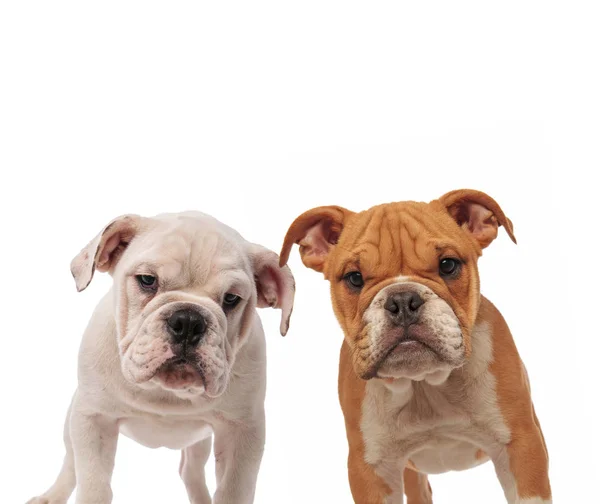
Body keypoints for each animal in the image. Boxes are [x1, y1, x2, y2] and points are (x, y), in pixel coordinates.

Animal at [28, 213, 296, 504]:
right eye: (147, 280)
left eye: (232, 298)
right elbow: (93, 485)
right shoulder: (93, 418)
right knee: (70, 464)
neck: (166, 392)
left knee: (190, 470)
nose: (189, 321)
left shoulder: (242, 432)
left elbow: (233, 491)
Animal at [278, 190, 552, 504]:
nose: (402, 300)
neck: (424, 384)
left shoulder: (520, 447)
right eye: (354, 278)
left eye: (448, 265)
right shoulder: (371, 469)